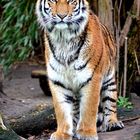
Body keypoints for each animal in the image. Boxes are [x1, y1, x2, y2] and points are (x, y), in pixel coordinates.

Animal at [35, 0, 124, 139]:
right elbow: (61, 109)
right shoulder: (57, 81)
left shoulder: (92, 77)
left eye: (70, 1)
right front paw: (62, 133)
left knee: (110, 102)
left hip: (109, 80)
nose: (61, 16)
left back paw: (112, 123)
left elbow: (89, 108)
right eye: (53, 1)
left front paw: (87, 133)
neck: (63, 39)